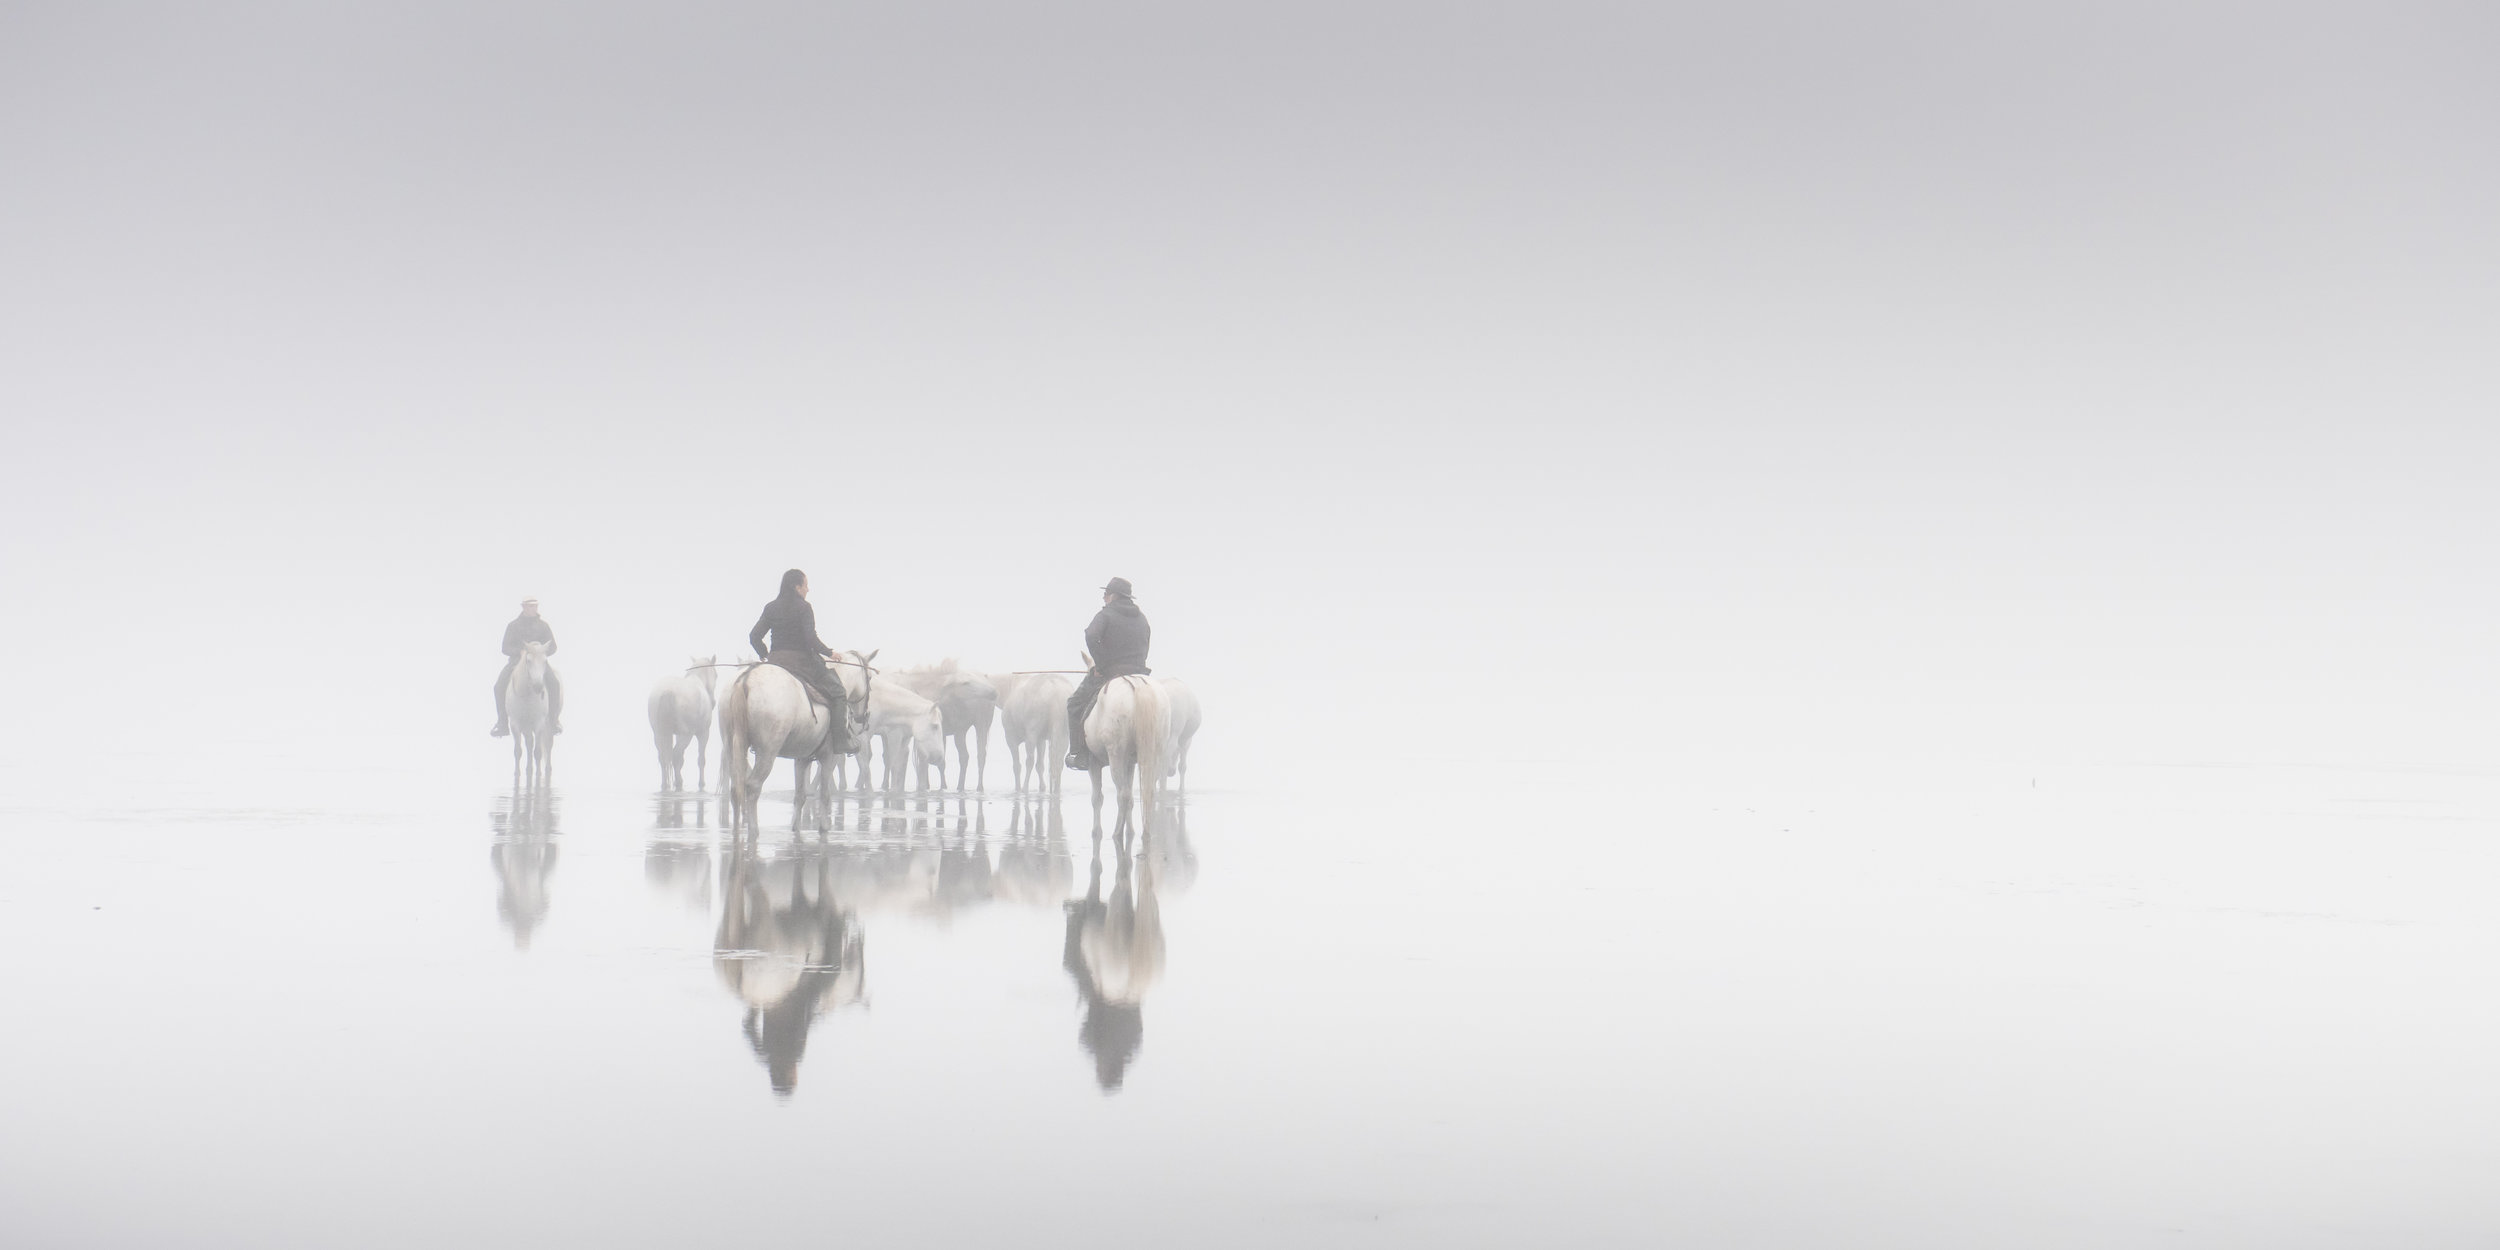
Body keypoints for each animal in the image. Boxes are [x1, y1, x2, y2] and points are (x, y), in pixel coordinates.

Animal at [502, 645, 557, 790]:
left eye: (545, 661)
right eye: (528, 661)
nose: (538, 686)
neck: (527, 695)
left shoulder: (539, 724)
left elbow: (537, 752)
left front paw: (538, 774)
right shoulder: (515, 724)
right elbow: (518, 751)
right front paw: (517, 773)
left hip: (548, 726)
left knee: (548, 745)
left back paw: (547, 769)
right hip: (526, 728)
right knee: (529, 743)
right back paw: (529, 769)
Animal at [725, 650, 870, 835]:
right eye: (870, 679)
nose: (864, 717)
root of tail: (746, 679)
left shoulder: (802, 758)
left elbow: (800, 795)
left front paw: (796, 827)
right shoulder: (829, 756)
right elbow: (824, 794)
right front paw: (824, 827)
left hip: (732, 746)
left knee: (736, 789)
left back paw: (737, 831)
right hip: (767, 752)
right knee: (753, 786)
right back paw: (753, 830)